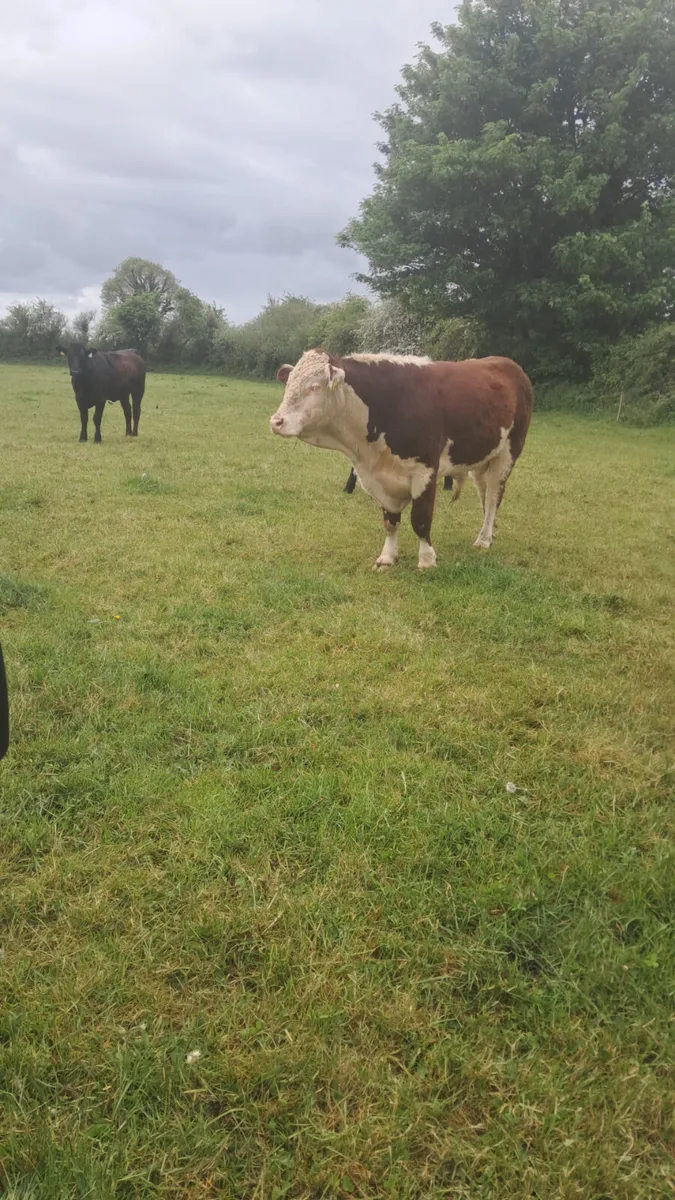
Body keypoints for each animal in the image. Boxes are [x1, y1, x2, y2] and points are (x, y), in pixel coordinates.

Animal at [271, 350, 533, 569]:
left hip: (506, 455)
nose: (276, 421)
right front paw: (387, 557)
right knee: (485, 496)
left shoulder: (425, 471)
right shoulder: (381, 479)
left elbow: (420, 520)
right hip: (481, 459)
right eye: (289, 384)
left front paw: (427, 560)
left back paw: (484, 539)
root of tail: (508, 363)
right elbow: (390, 521)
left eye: (313, 387)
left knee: (493, 498)